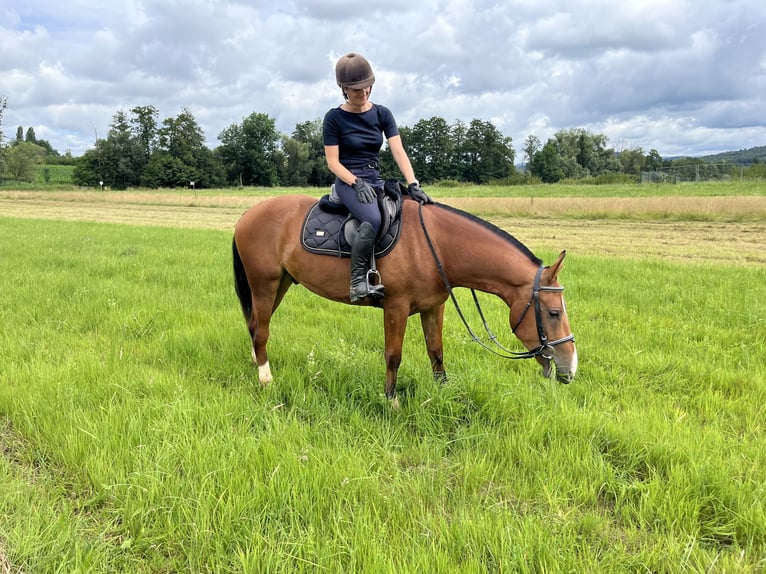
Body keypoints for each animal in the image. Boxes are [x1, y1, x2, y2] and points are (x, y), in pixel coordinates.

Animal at [231, 197, 580, 404]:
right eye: (553, 313)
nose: (570, 368)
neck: (435, 247)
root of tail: (249, 214)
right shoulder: (396, 308)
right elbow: (393, 356)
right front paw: (392, 401)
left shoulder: (434, 307)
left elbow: (436, 352)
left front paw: (443, 392)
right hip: (264, 283)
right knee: (261, 330)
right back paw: (265, 379)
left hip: (281, 283)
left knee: (255, 325)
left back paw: (256, 361)